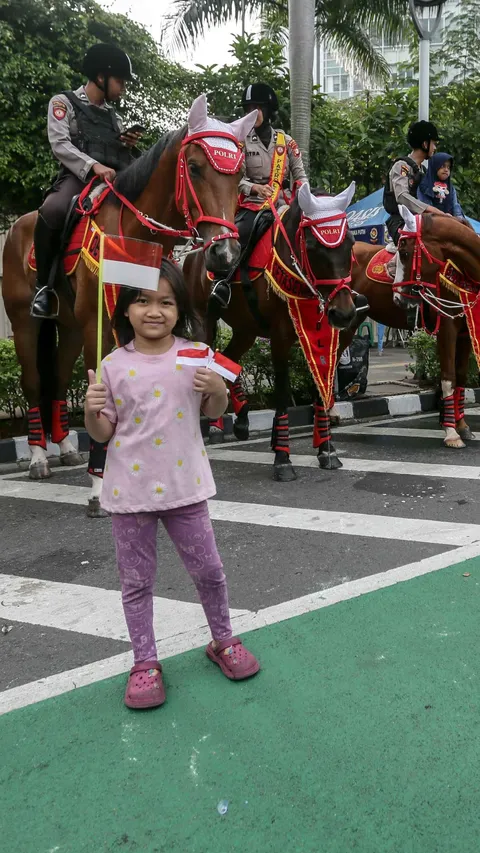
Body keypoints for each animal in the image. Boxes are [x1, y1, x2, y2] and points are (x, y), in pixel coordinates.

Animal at [1, 95, 256, 512]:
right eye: (195, 168)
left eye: (238, 178)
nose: (225, 254)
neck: (134, 236)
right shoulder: (98, 323)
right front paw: (98, 484)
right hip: (26, 321)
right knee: (34, 380)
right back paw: (39, 456)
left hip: (69, 327)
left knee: (58, 376)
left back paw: (65, 446)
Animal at [185, 181, 360, 480]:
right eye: (312, 245)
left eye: (349, 243)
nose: (344, 313)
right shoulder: (280, 338)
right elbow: (281, 392)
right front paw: (283, 458)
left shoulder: (322, 335)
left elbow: (320, 388)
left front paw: (326, 450)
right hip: (203, 322)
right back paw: (216, 425)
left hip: (246, 329)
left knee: (228, 358)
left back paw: (242, 417)